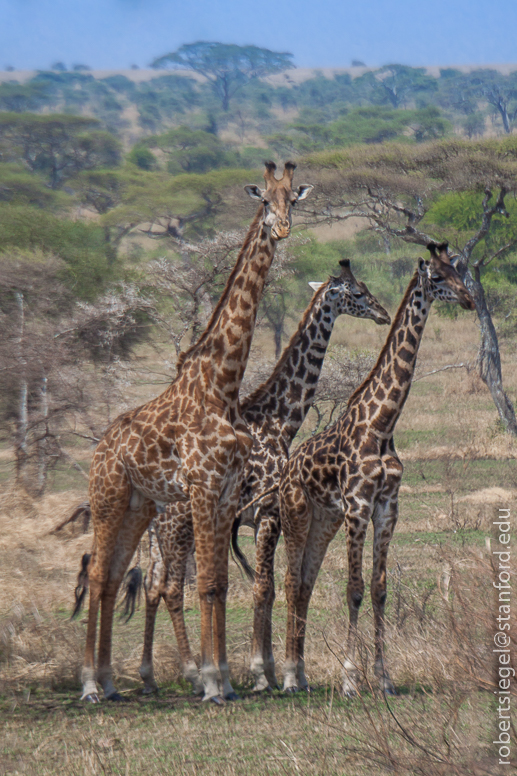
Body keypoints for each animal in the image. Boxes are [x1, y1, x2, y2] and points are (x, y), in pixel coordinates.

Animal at [79, 161, 313, 703]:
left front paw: (225, 678)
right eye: (264, 200)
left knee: (112, 576)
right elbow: (205, 583)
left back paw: (110, 682)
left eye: (293, 198)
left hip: (139, 507)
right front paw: (210, 681)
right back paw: (90, 685)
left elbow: (220, 583)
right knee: (99, 573)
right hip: (109, 498)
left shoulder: (226, 493)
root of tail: (99, 451)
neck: (221, 384)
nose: (282, 228)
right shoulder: (205, 486)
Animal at [138, 260, 391, 695]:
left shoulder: (260, 518)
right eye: (357, 293)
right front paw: (262, 672)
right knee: (170, 588)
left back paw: (150, 676)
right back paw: (192, 673)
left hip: (158, 533)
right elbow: (264, 587)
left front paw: (271, 670)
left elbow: (265, 589)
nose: (383, 313)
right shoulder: (268, 512)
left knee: (153, 588)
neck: (279, 421)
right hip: (177, 526)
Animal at [277, 243, 475, 696]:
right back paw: (289, 676)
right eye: (437, 278)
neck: (383, 424)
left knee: (305, 582)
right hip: (296, 513)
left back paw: (301, 673)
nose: (470, 299)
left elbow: (380, 588)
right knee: (290, 582)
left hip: (324, 519)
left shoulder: (388, 506)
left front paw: (384, 677)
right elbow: (353, 589)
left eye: (459, 272)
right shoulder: (358, 504)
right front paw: (351, 677)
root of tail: (288, 467)